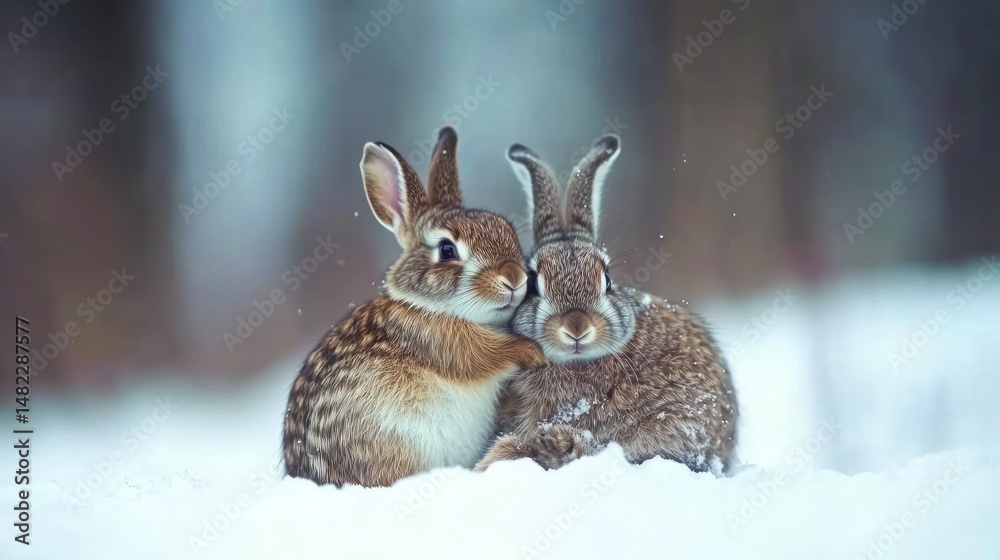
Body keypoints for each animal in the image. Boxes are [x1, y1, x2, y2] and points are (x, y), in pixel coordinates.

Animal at [282, 126, 547, 487]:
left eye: (507, 230)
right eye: (447, 250)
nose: (514, 279)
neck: (428, 306)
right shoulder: (441, 343)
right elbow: (486, 356)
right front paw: (535, 353)